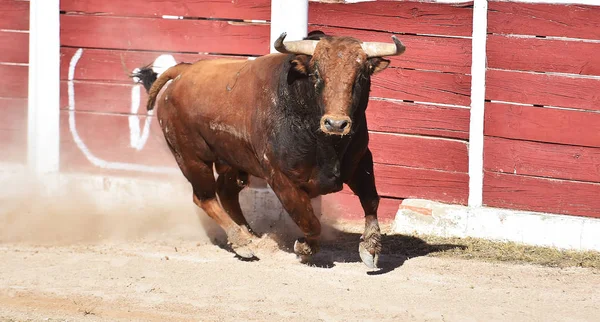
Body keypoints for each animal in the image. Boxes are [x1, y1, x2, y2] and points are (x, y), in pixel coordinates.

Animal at [135, 31, 406, 268]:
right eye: (317, 75)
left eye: (361, 77)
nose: (336, 124)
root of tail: (184, 71)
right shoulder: (281, 179)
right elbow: (309, 220)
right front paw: (305, 248)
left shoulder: (361, 161)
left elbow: (371, 201)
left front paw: (370, 249)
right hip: (190, 158)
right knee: (205, 197)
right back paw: (242, 243)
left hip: (231, 159)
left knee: (226, 193)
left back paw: (251, 235)